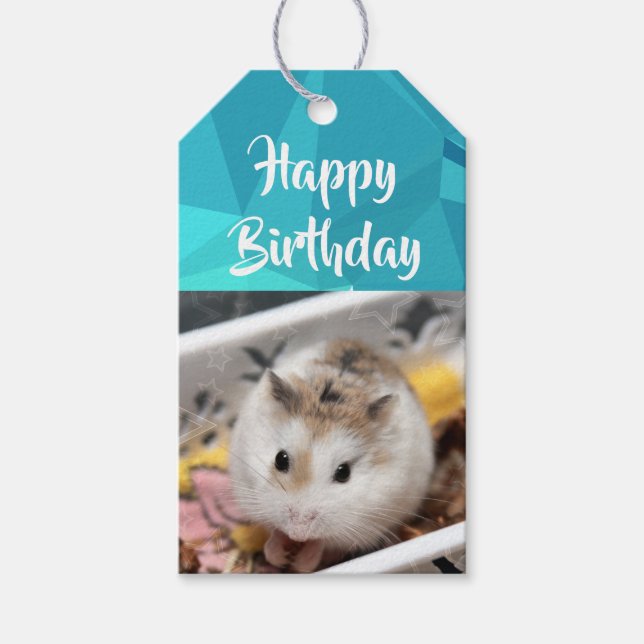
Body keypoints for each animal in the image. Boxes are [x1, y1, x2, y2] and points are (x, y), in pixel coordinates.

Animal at [229, 339, 434, 572]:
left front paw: (300, 563)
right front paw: (280, 556)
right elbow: (274, 531)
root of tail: (360, 342)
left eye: (344, 473)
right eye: (280, 459)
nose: (298, 532)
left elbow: (322, 542)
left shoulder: (364, 522)